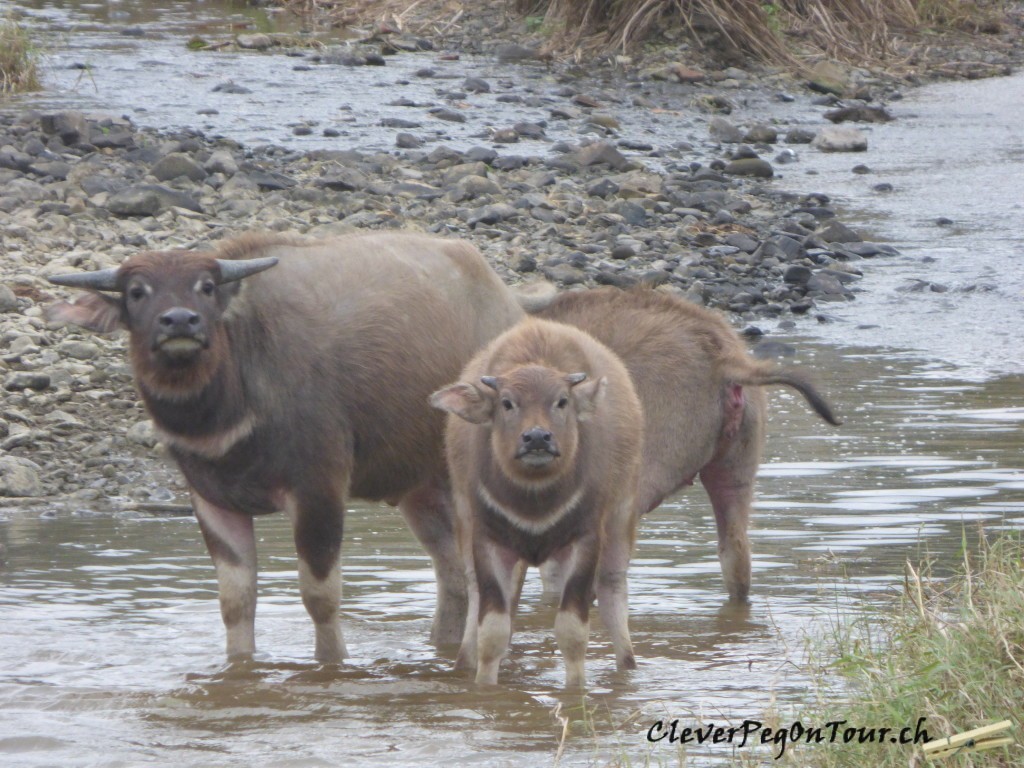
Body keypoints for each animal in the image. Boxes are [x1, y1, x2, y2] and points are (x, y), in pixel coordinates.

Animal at [430, 315, 638, 688]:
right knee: (475, 596)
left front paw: (575, 690)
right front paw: (484, 687)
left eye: (562, 401)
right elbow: (492, 631)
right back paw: (463, 661)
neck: (535, 500)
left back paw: (627, 665)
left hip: (620, 517)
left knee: (613, 590)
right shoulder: (487, 539)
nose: (538, 437)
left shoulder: (586, 539)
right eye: (507, 403)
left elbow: (572, 631)